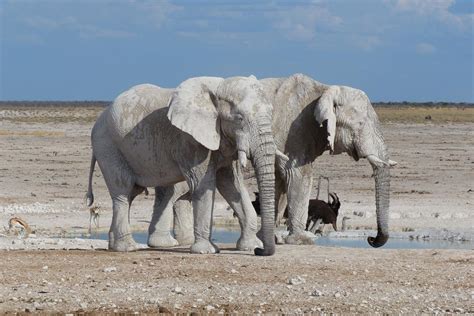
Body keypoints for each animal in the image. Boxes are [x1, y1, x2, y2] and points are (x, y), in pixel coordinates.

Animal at [86, 75, 278, 256]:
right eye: (239, 118)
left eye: (271, 112)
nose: (260, 251)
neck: (219, 87)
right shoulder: (190, 141)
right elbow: (204, 184)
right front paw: (207, 251)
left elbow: (231, 184)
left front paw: (250, 246)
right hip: (108, 146)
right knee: (123, 190)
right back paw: (128, 247)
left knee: (143, 193)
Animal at [161, 73, 398, 247]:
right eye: (361, 125)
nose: (372, 239)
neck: (324, 90)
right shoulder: (292, 133)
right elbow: (298, 175)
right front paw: (302, 239)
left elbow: (281, 184)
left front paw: (271, 237)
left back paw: (184, 240)